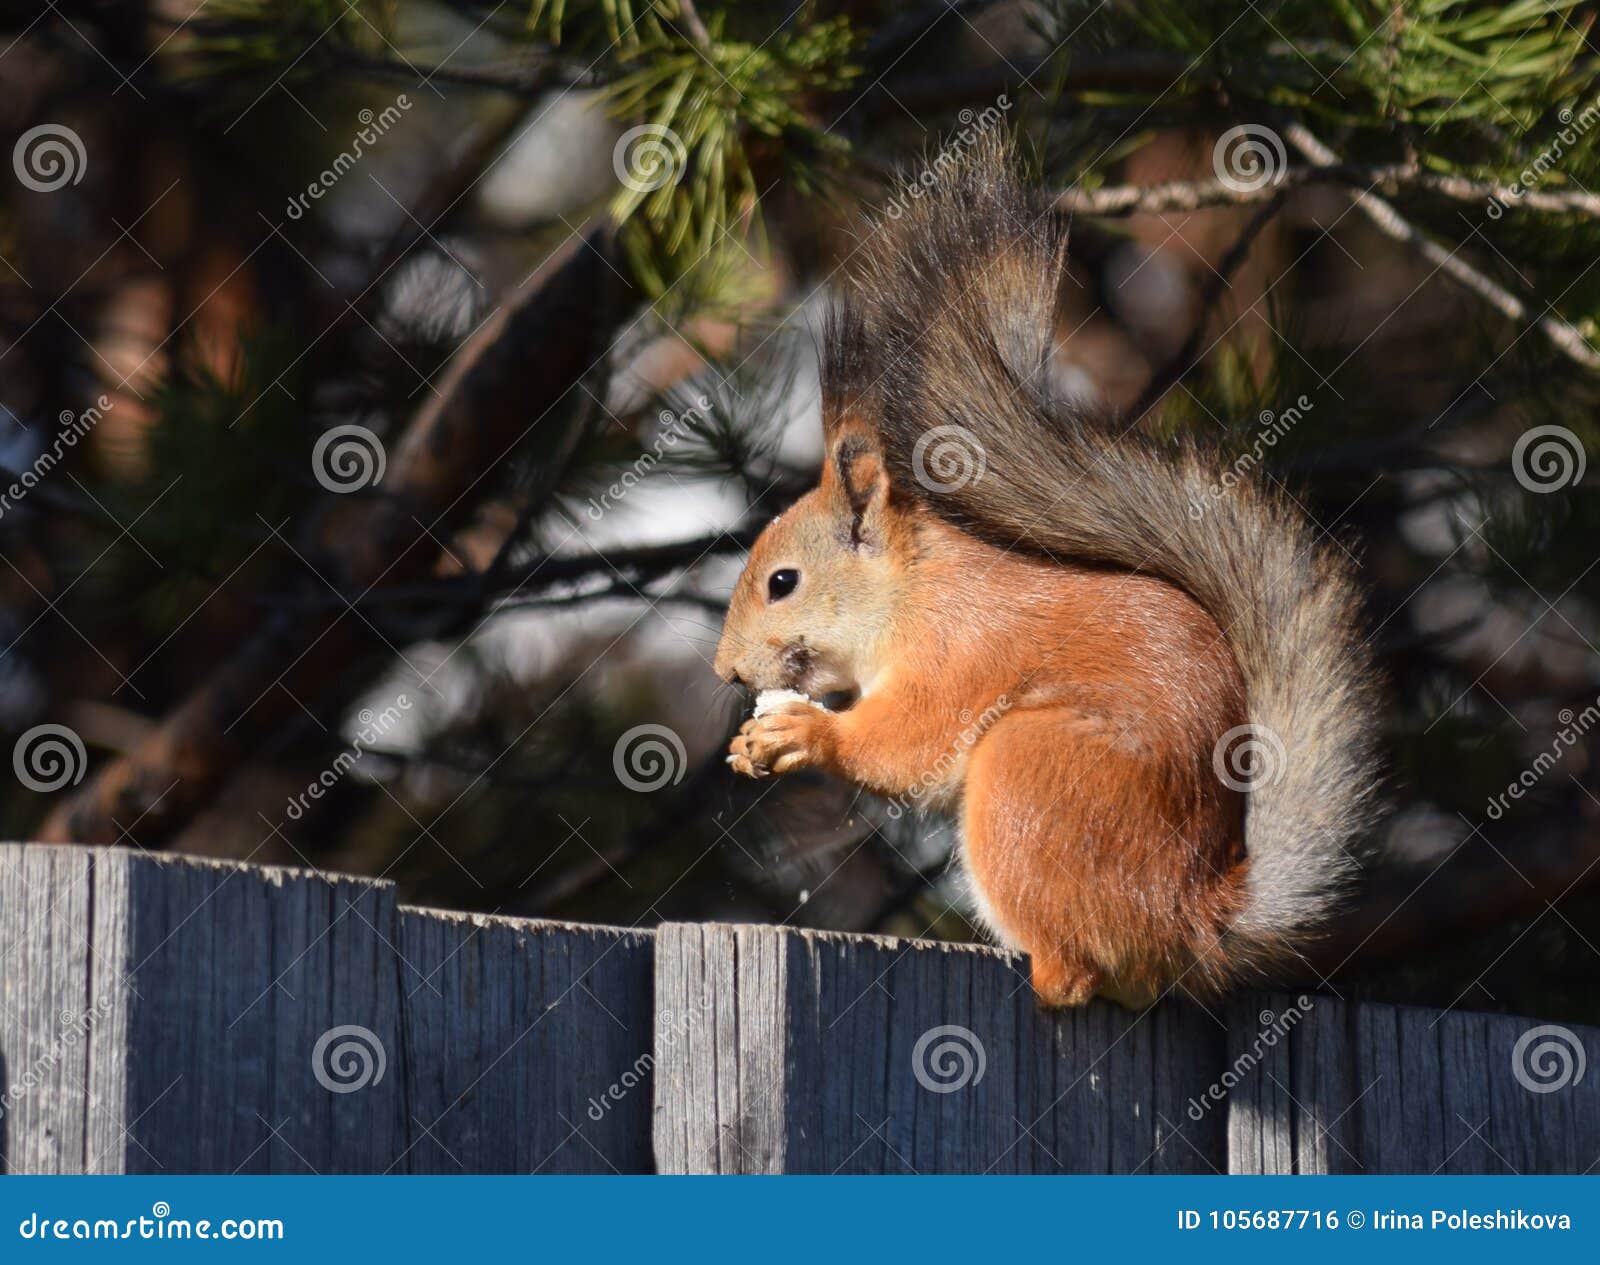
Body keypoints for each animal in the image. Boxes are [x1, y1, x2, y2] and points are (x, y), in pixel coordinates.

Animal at [712, 132, 1382, 1008]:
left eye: (782, 582)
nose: (725, 673)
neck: (910, 592)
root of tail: (1192, 915)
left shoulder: (957, 650)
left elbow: (906, 742)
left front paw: (805, 731)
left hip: (1030, 774)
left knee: (1071, 973)